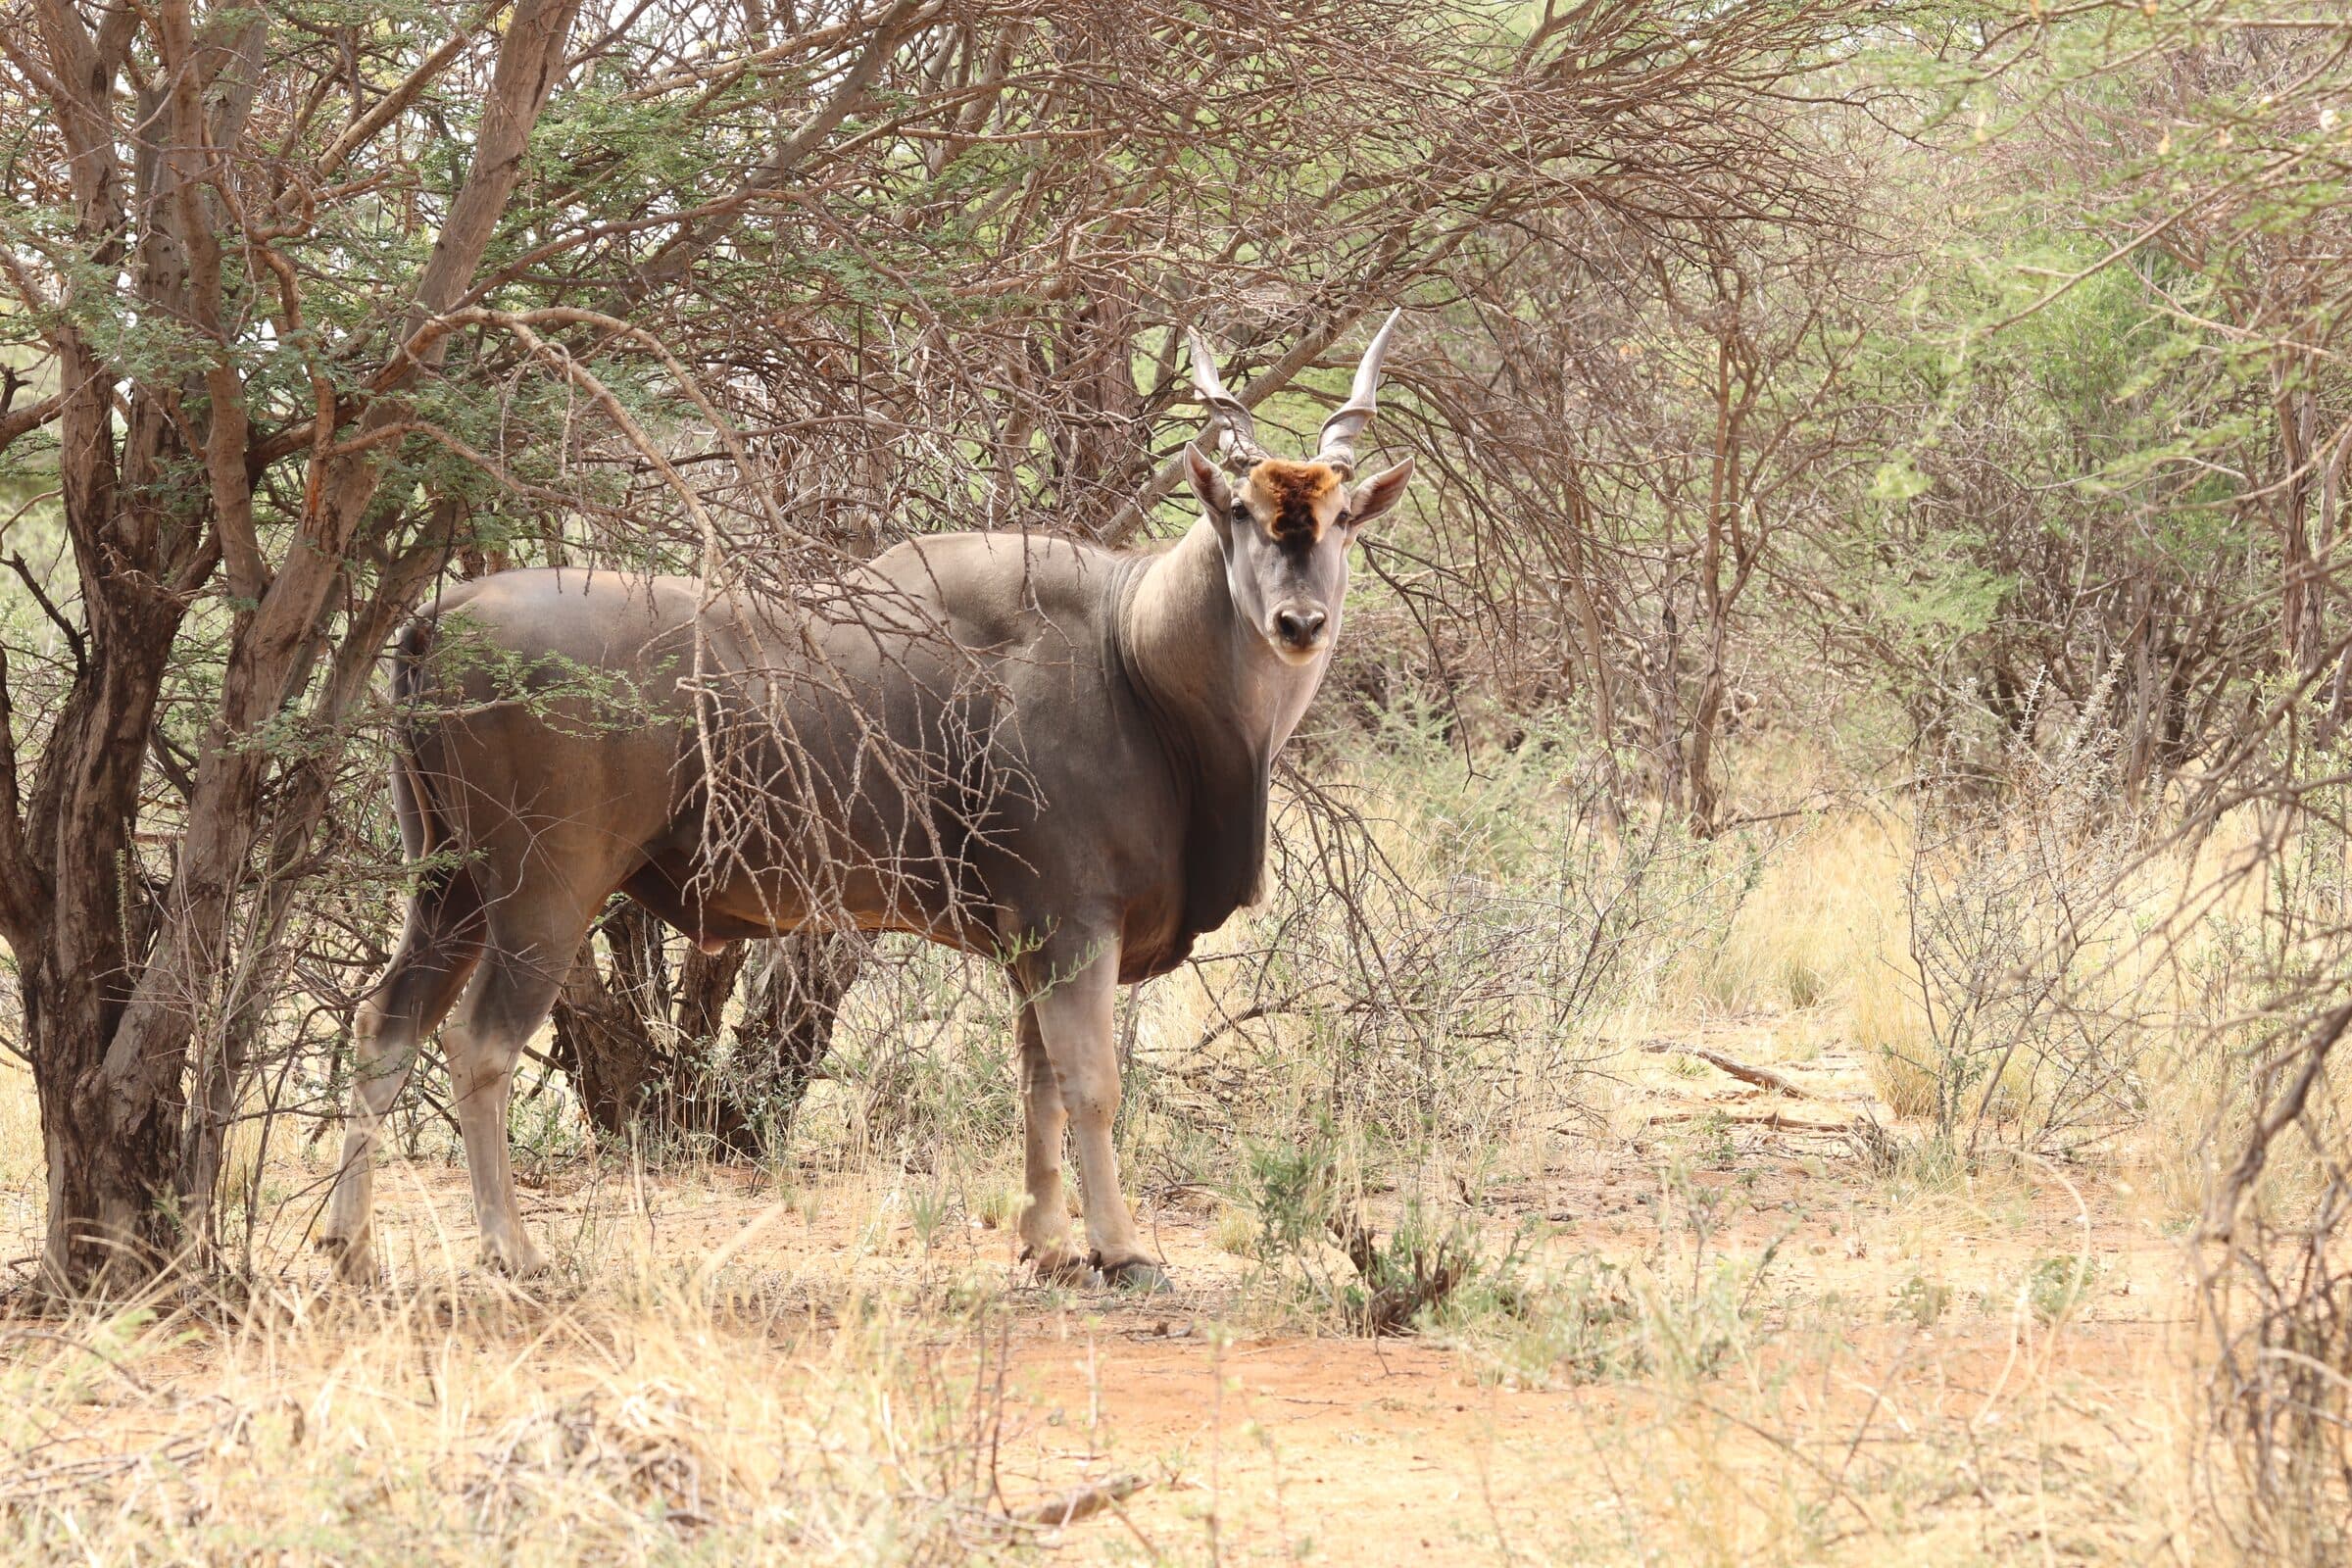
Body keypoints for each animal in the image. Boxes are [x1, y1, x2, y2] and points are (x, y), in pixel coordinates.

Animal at [320, 314, 1415, 1290]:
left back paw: (350, 1248)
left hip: (449, 889)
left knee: (384, 1026)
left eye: (1339, 519)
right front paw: (1123, 1251)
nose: (1301, 622)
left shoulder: (1031, 940)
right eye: (1244, 514)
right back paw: (512, 1250)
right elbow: (1093, 1087)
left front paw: (1048, 1247)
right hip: (541, 895)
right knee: (478, 1045)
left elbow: (1038, 1086)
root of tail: (439, 617)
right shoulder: (1074, 925)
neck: (1130, 649)